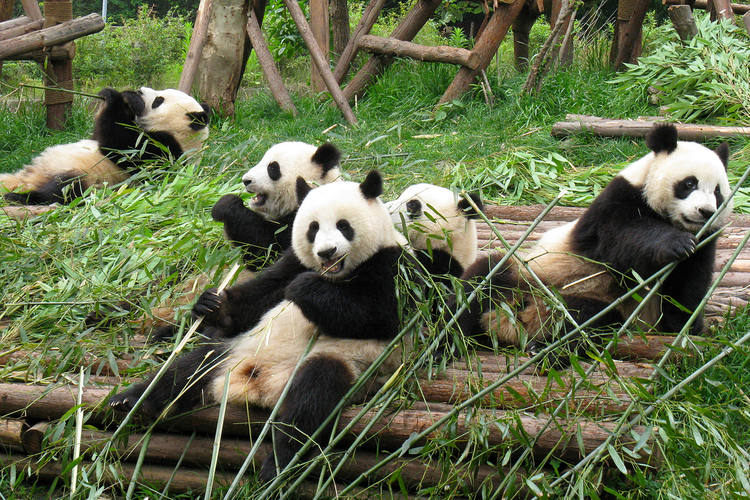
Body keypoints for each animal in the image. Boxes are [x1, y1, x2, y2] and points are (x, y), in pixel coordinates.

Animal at [1, 87, 209, 205]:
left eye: (159, 101)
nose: (140, 90)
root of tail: (30, 178)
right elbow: (101, 134)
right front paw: (127, 96)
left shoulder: (165, 152)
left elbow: (121, 147)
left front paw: (119, 97)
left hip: (83, 176)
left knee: (62, 191)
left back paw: (19, 197)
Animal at [109, 170, 406, 481]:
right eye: (313, 228)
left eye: (343, 226)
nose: (327, 252)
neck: (335, 274)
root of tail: (260, 385)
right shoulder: (292, 261)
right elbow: (261, 294)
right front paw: (213, 305)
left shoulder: (391, 266)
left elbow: (375, 315)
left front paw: (305, 289)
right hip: (235, 350)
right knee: (188, 369)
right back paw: (131, 400)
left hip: (342, 362)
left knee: (311, 400)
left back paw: (277, 465)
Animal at [210, 141, 341, 270]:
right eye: (261, 161)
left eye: (272, 168)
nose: (246, 180)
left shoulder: (303, 223)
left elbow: (265, 252)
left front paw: (224, 205)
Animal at [455, 124, 732, 350]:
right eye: (689, 184)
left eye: (717, 192)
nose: (705, 212)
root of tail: (514, 324)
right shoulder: (614, 205)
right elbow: (624, 239)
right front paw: (676, 243)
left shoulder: (706, 241)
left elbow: (687, 290)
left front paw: (687, 325)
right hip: (528, 275)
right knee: (482, 283)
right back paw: (452, 340)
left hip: (598, 306)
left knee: (586, 322)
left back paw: (547, 348)